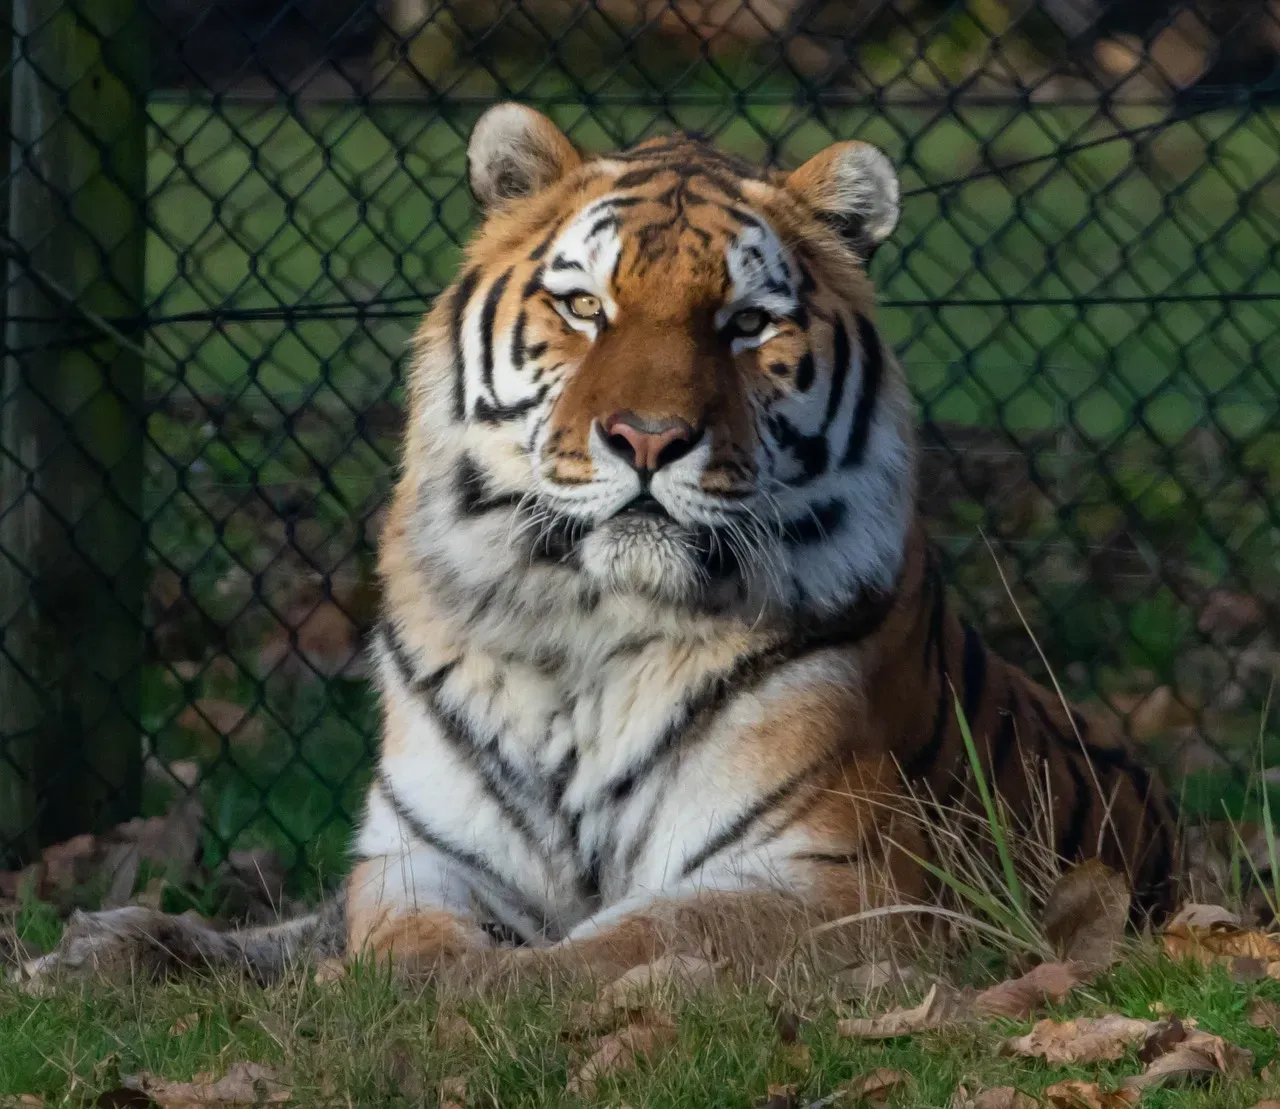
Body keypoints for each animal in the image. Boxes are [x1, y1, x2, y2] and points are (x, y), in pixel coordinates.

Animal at [14, 103, 1179, 989]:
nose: (649, 438)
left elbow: (622, 936)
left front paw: (477, 992)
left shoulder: (831, 874)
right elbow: (392, 929)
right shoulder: (417, 854)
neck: (579, 626)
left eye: (745, 324)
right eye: (583, 306)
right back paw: (94, 949)